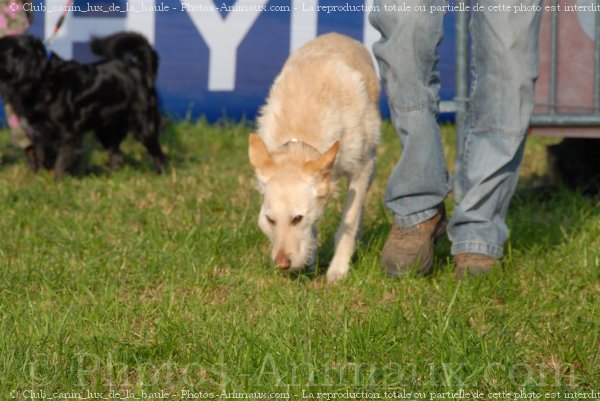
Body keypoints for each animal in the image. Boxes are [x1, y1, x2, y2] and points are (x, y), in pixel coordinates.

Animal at [0, 31, 166, 175]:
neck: (42, 77)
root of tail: (138, 68)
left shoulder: (69, 133)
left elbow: (62, 161)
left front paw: (57, 183)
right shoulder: (40, 132)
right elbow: (42, 156)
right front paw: (40, 180)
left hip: (143, 126)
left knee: (158, 153)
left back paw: (160, 173)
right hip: (106, 130)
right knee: (118, 156)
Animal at [247, 32, 380, 282]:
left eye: (297, 219)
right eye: (270, 220)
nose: (282, 264)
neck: (301, 139)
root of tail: (337, 35)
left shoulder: (361, 168)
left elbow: (349, 220)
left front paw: (338, 269)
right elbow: (315, 227)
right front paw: (309, 257)